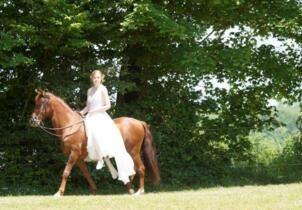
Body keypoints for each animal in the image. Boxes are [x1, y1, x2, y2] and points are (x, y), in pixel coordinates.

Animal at [29, 89, 160, 196]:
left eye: (40, 104)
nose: (32, 121)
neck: (70, 125)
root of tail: (139, 122)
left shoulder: (73, 154)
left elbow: (66, 172)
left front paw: (59, 193)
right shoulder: (79, 159)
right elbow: (86, 174)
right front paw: (94, 191)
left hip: (134, 152)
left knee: (141, 168)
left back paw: (139, 191)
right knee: (133, 171)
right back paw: (129, 188)